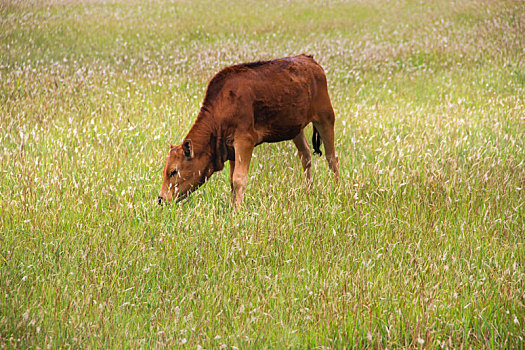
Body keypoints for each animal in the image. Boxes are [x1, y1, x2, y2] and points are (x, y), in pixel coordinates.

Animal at [158, 54, 340, 206]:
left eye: (173, 171)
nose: (161, 199)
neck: (223, 106)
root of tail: (309, 59)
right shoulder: (231, 149)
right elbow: (232, 181)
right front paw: (232, 207)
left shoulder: (244, 141)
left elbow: (239, 179)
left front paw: (237, 212)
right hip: (297, 129)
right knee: (306, 156)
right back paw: (309, 192)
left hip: (325, 118)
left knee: (332, 158)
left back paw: (336, 190)